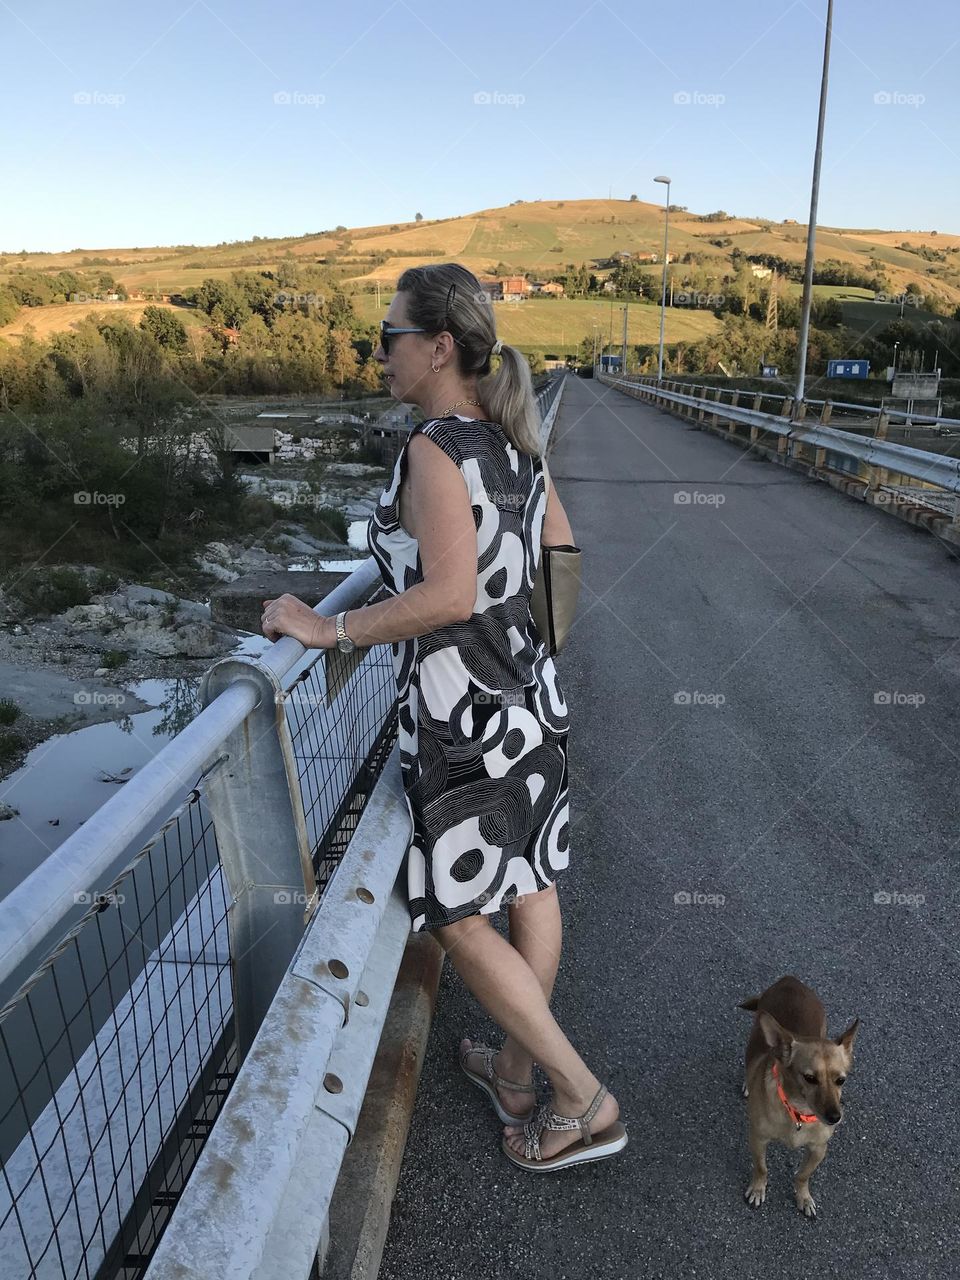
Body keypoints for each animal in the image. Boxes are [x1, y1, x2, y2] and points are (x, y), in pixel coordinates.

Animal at [742, 972, 860, 1213]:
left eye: (841, 1080)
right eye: (810, 1078)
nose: (835, 1117)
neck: (798, 1112)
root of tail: (790, 979)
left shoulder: (818, 1149)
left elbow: (803, 1175)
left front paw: (804, 1198)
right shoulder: (758, 1139)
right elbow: (761, 1168)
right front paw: (758, 1189)